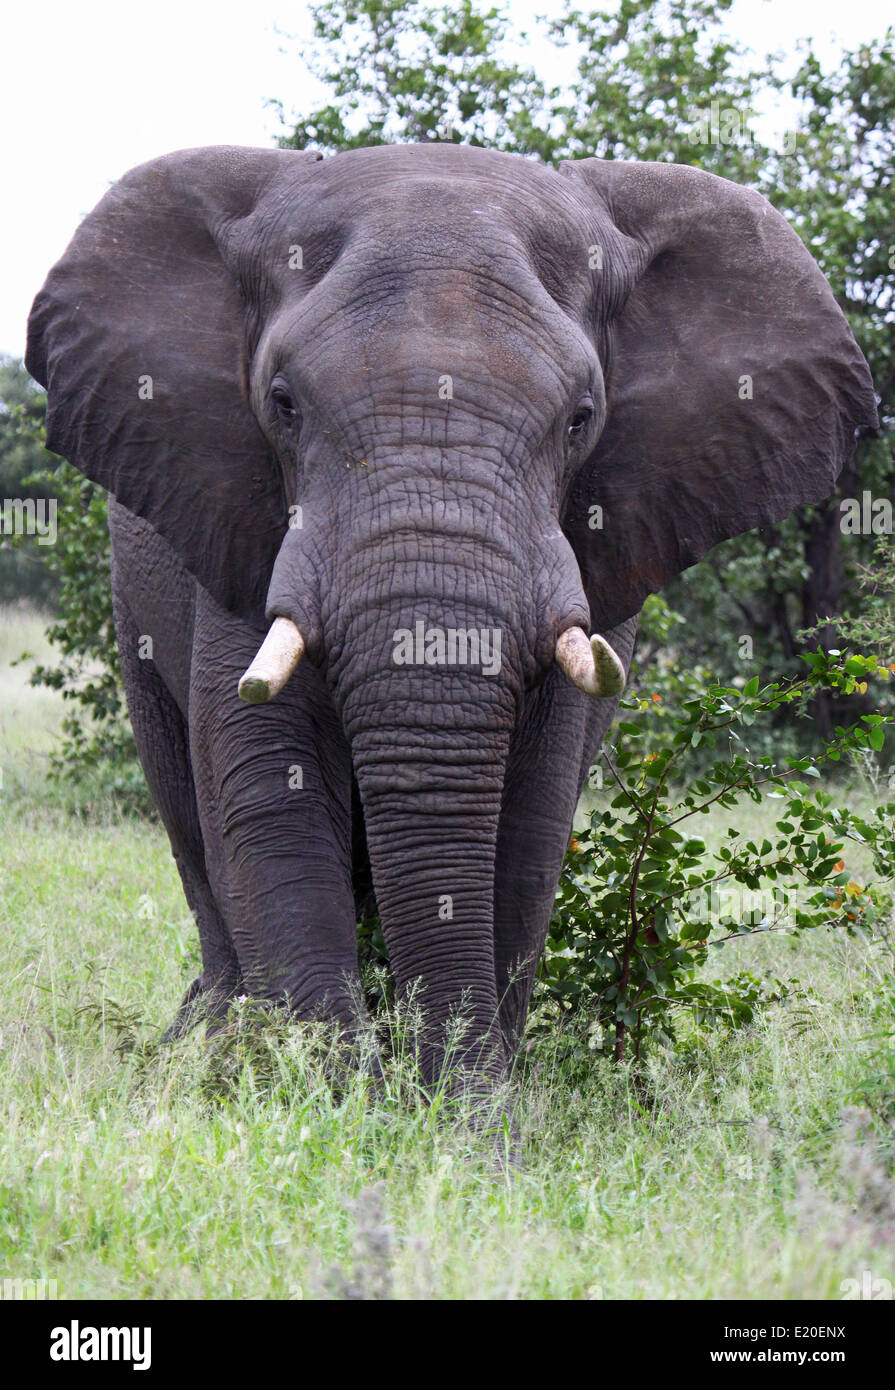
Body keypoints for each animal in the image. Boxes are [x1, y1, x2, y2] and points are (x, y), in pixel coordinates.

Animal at [24, 143, 878, 1095]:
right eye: (282, 402)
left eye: (582, 418)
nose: (446, 1099)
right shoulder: (239, 525)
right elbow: (269, 799)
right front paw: (338, 1100)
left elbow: (528, 823)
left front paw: (467, 1111)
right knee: (188, 822)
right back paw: (206, 1048)